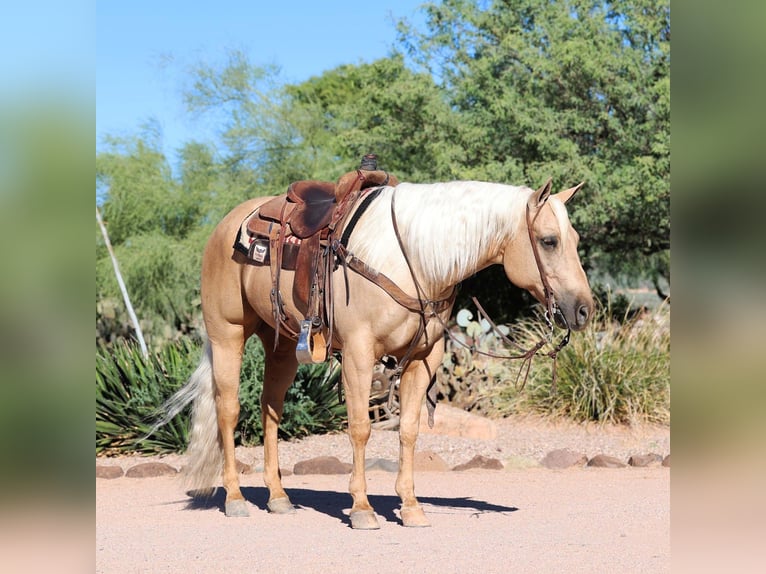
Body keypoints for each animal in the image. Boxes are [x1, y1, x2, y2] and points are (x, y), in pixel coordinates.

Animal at [162, 177, 594, 529]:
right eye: (549, 240)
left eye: (574, 240)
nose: (584, 310)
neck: (413, 258)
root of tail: (227, 224)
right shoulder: (359, 353)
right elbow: (360, 428)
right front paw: (362, 508)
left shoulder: (424, 359)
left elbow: (408, 430)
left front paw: (412, 507)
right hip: (227, 335)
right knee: (228, 410)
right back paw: (235, 498)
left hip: (281, 344)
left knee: (271, 408)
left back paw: (279, 498)